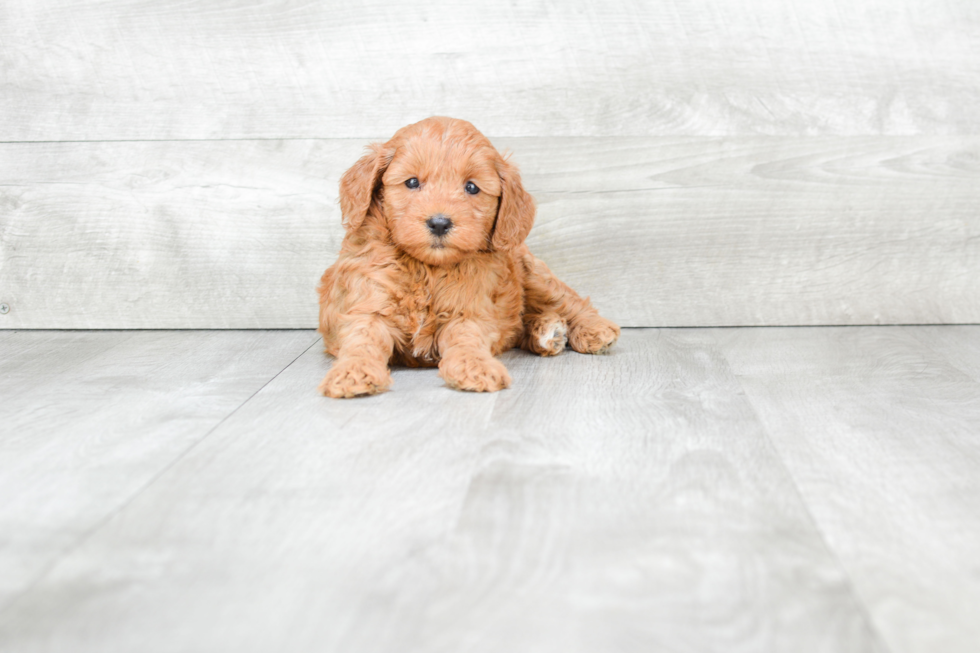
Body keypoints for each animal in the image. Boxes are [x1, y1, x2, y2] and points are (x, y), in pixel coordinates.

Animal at [318, 116, 616, 398]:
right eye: (412, 182)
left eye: (471, 188)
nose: (439, 223)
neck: (427, 269)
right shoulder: (368, 304)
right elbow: (362, 339)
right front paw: (353, 372)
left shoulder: (469, 310)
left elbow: (467, 338)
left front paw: (475, 366)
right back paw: (547, 331)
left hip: (532, 273)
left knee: (567, 301)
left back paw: (592, 330)